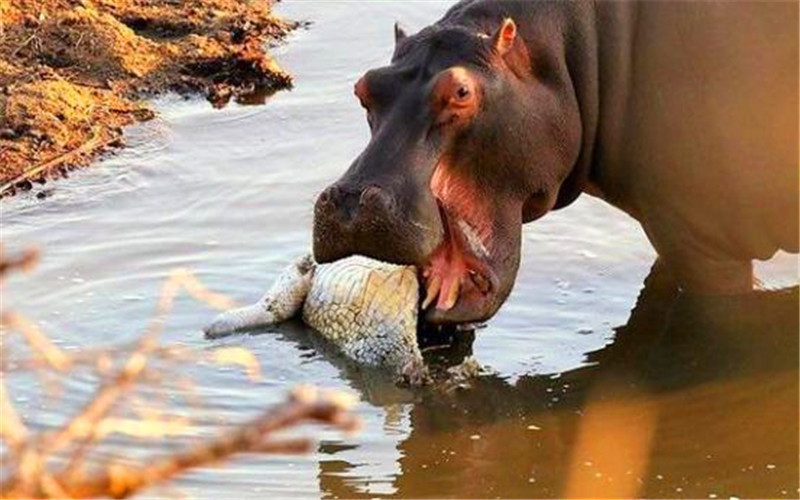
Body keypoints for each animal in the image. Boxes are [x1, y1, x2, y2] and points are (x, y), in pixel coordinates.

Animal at [310, 0, 796, 324]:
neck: (573, 52)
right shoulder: (677, 230)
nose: (351, 201)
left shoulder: (706, 248)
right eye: (364, 86)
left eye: (461, 91)